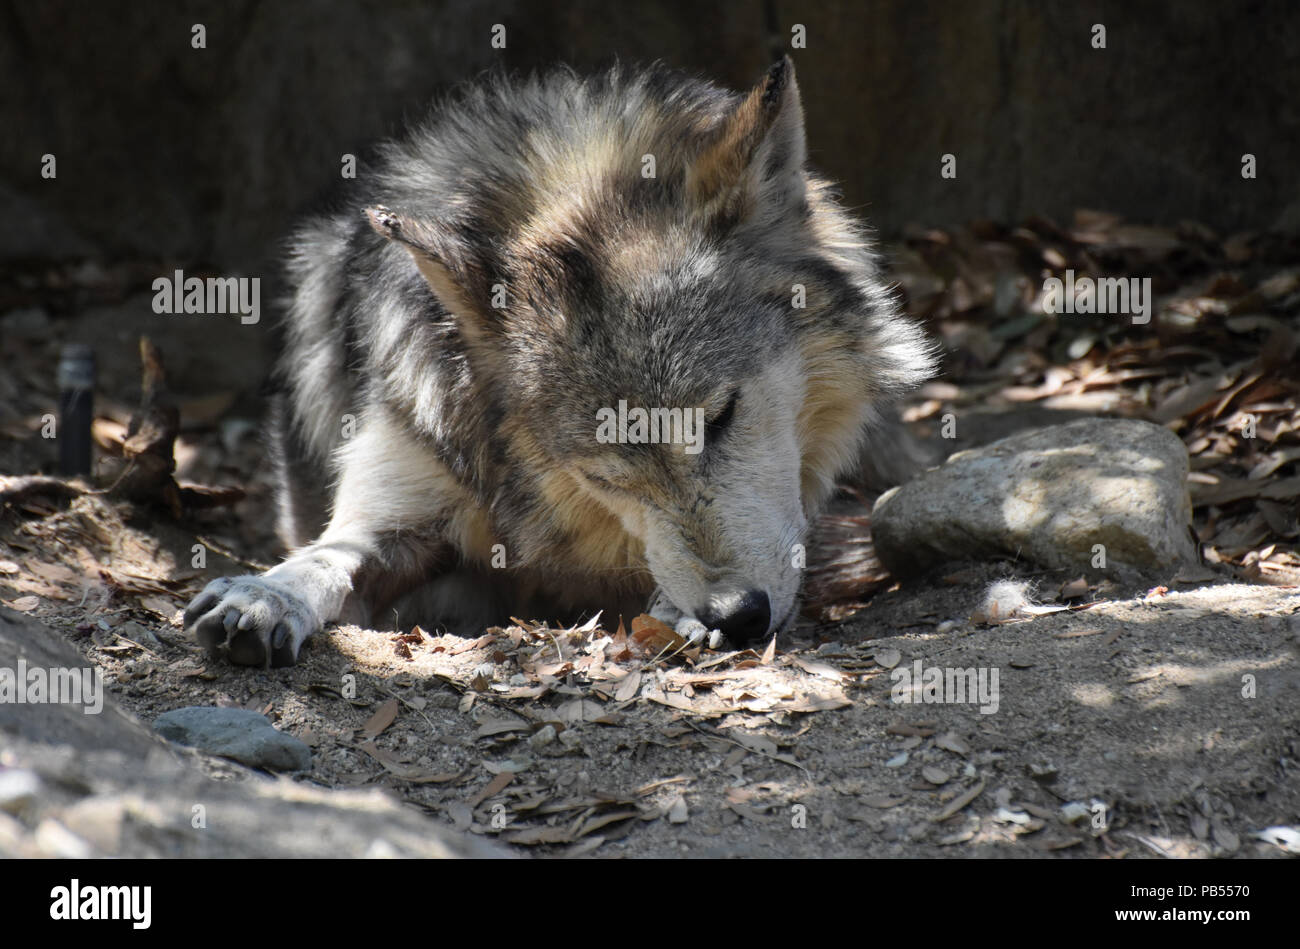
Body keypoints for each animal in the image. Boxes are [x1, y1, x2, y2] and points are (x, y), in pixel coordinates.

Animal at [183, 57, 935, 665]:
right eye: (605, 475)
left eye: (720, 418)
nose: (738, 615)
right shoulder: (401, 508)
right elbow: (327, 557)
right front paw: (265, 595)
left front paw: (678, 611)